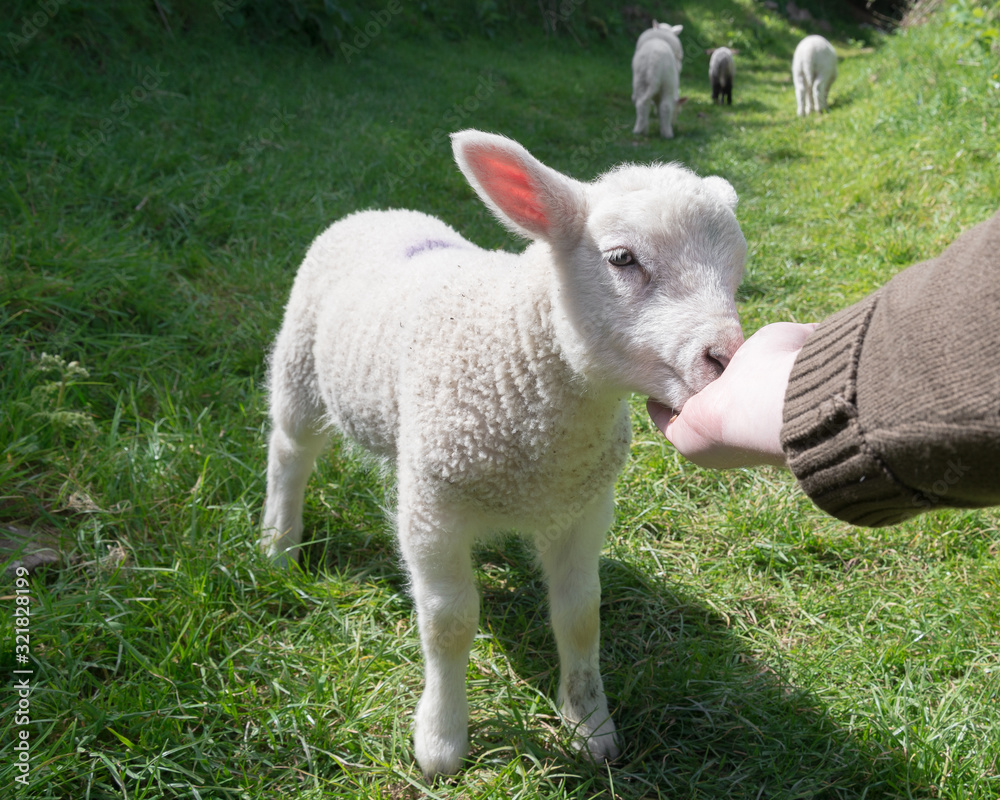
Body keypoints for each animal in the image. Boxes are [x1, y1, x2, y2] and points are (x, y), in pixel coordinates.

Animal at [261, 129, 747, 779]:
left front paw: (591, 726)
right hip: (299, 368)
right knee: (290, 451)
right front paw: (441, 740)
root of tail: (376, 211)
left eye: (738, 270)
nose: (727, 359)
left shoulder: (583, 508)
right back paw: (278, 544)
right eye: (622, 258)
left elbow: (580, 614)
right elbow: (448, 621)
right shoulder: (434, 511)